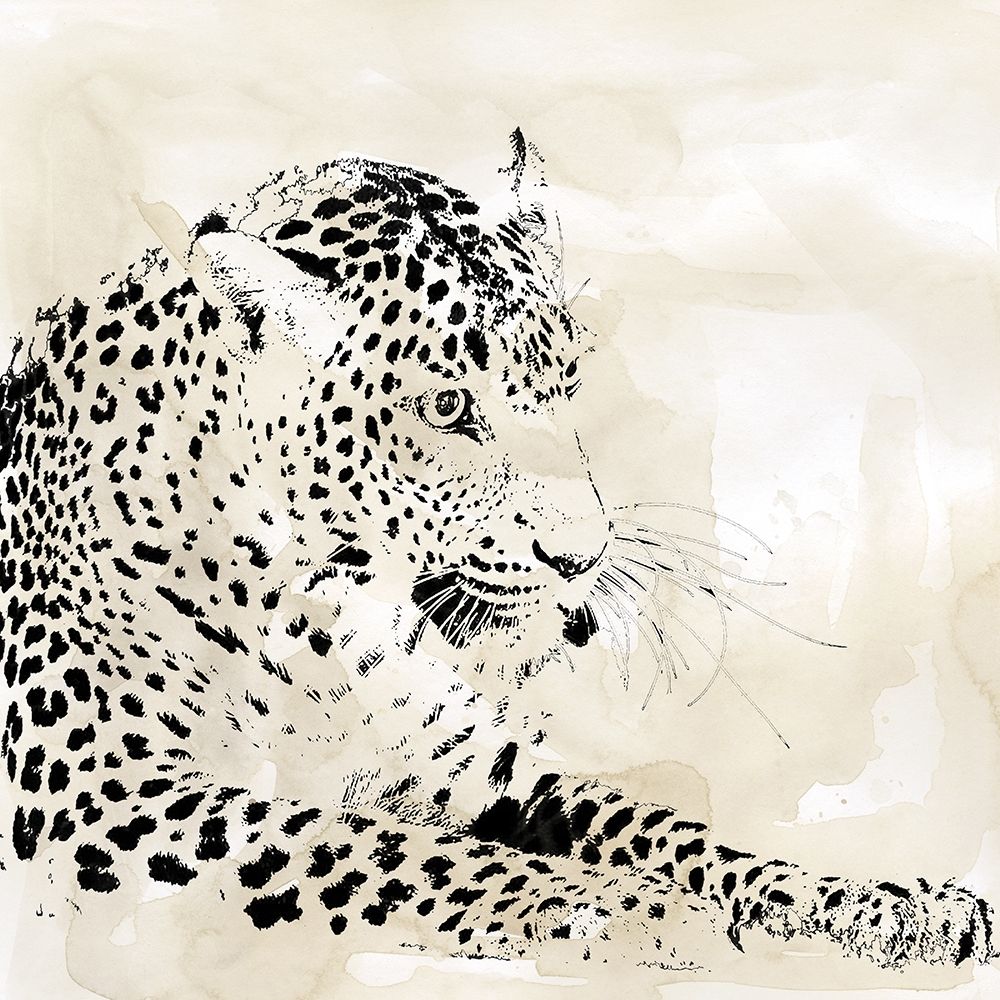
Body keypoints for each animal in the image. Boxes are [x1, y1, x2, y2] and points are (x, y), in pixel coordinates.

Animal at [0, 128, 994, 983]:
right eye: (446, 407)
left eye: (566, 377)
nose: (582, 558)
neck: (322, 619)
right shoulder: (101, 798)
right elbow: (392, 847)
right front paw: (638, 911)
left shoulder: (476, 770)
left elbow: (664, 828)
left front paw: (884, 906)